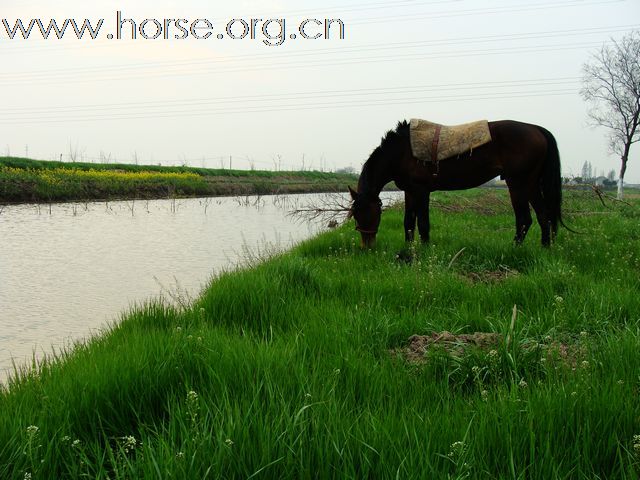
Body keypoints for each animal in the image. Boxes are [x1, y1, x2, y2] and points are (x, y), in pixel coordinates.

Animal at [350, 119, 564, 248]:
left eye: (368, 213)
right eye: (355, 216)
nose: (367, 247)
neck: (402, 151)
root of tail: (537, 129)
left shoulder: (421, 191)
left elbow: (423, 224)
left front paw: (424, 251)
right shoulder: (409, 192)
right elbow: (408, 223)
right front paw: (408, 248)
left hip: (518, 184)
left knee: (524, 219)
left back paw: (515, 249)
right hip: (531, 184)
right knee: (543, 215)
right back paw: (545, 247)